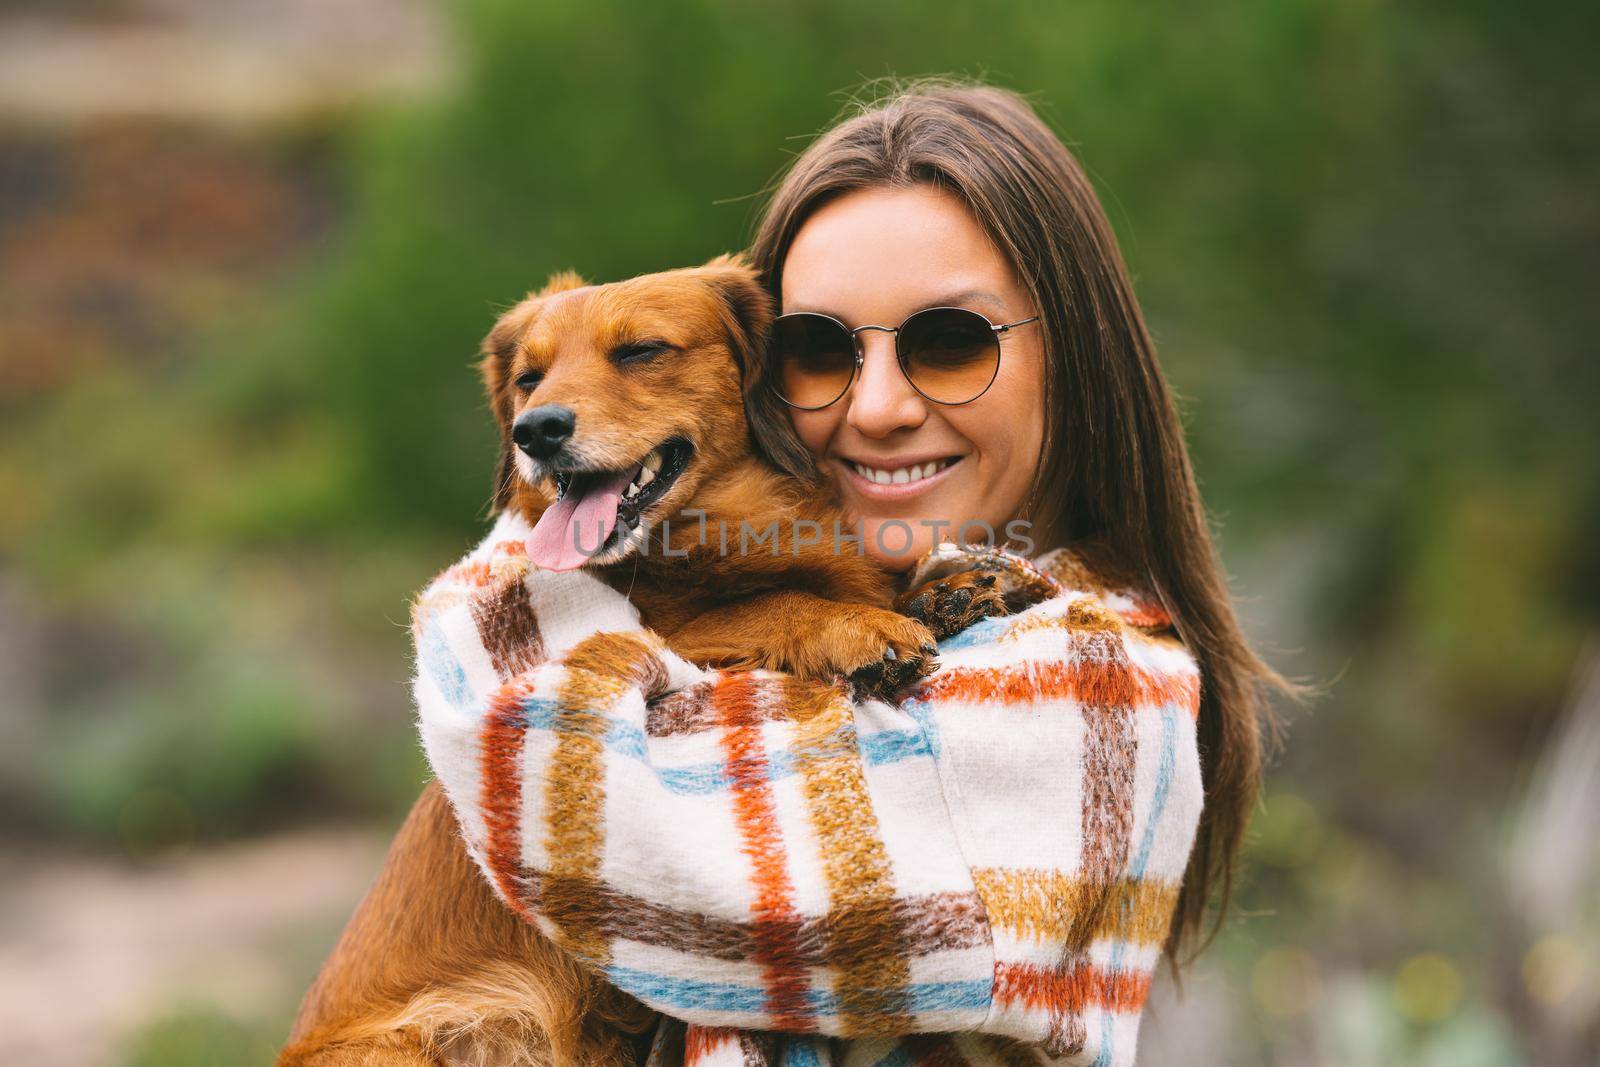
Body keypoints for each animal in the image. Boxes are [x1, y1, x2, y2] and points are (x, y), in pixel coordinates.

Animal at [276, 259, 998, 1067]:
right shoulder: (667, 635)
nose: (536, 430)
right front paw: (860, 627)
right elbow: (767, 604)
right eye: (528, 378)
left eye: (642, 350)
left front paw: (944, 592)